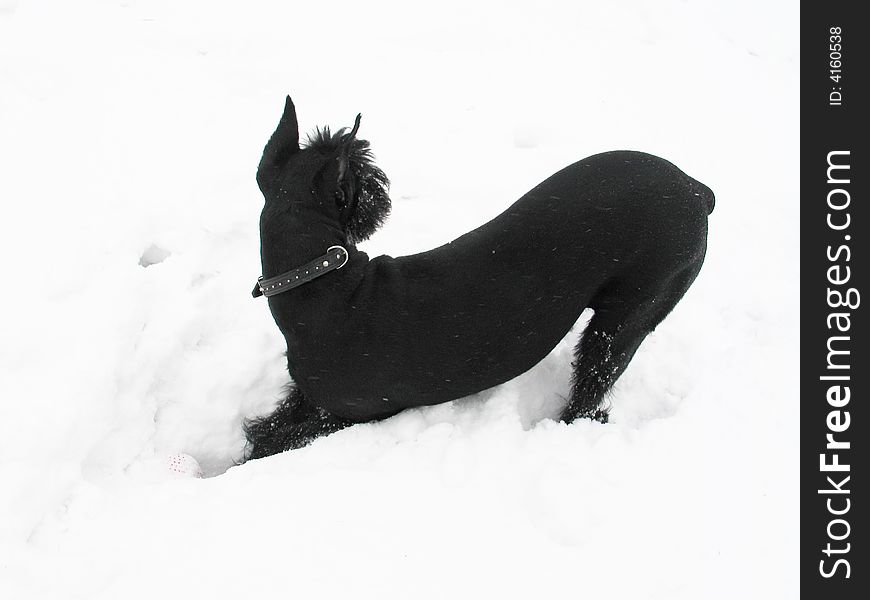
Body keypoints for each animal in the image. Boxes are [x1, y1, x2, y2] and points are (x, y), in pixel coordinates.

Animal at [244, 97, 716, 460]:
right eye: (362, 174)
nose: (381, 186)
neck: (324, 285)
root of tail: (696, 189)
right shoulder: (313, 403)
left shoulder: (344, 415)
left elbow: (272, 441)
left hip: (628, 315)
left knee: (593, 383)